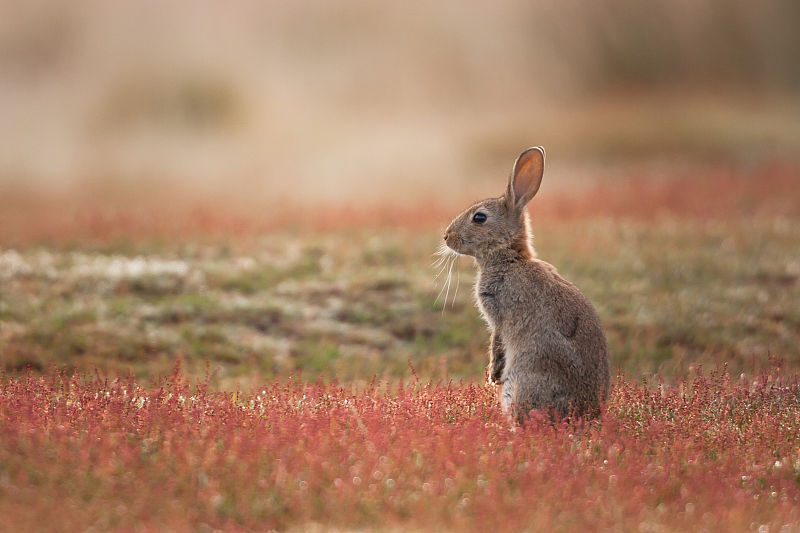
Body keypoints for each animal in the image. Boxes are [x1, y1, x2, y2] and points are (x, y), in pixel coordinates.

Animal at [444, 147, 612, 420]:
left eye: (479, 217)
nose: (447, 237)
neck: (510, 258)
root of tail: (584, 415)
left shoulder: (500, 316)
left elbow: (497, 343)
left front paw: (492, 375)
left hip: (523, 386)